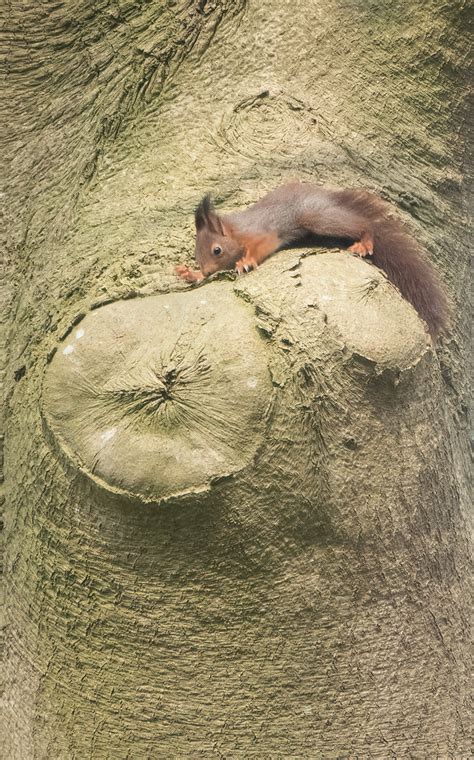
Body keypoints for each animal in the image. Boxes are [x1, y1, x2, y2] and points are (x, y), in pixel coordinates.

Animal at [177, 183, 448, 336]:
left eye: (217, 251)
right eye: (197, 254)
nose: (207, 271)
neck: (237, 231)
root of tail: (327, 198)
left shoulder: (262, 234)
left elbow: (260, 247)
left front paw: (245, 262)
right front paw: (191, 274)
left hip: (316, 218)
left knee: (363, 224)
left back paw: (365, 240)